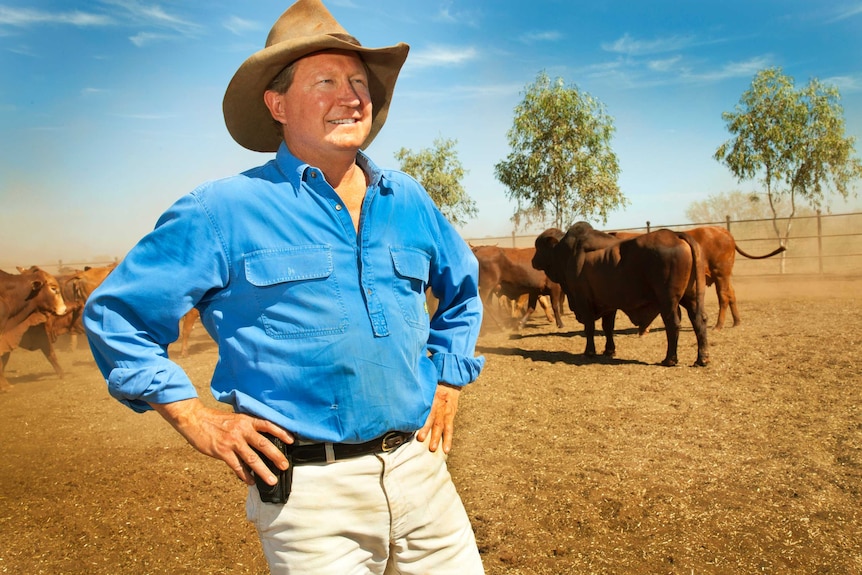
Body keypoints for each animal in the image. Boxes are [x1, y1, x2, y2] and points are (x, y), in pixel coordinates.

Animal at [532, 223, 708, 366]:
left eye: (539, 248)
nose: (533, 261)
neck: (566, 254)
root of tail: (675, 234)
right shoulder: (608, 304)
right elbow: (607, 327)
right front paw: (609, 350)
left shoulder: (583, 301)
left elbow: (590, 327)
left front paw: (589, 352)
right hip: (691, 297)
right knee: (699, 320)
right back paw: (702, 358)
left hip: (668, 300)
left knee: (673, 324)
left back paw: (670, 359)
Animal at [612, 227, 788, 330]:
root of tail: (724, 231)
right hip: (724, 275)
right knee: (731, 294)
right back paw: (736, 321)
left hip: (720, 273)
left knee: (723, 296)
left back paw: (719, 325)